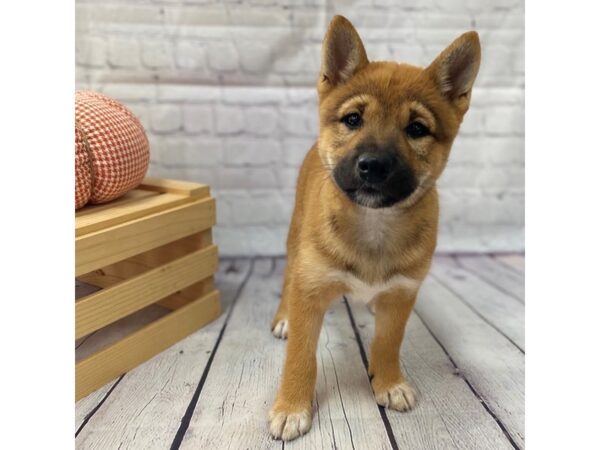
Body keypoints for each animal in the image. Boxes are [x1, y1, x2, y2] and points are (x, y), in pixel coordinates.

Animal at [270, 15, 480, 442]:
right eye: (353, 119)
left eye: (416, 128)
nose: (373, 165)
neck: (374, 226)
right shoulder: (310, 291)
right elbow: (300, 355)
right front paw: (292, 406)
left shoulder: (401, 296)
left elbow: (387, 343)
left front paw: (388, 382)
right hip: (294, 244)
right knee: (287, 280)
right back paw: (283, 317)